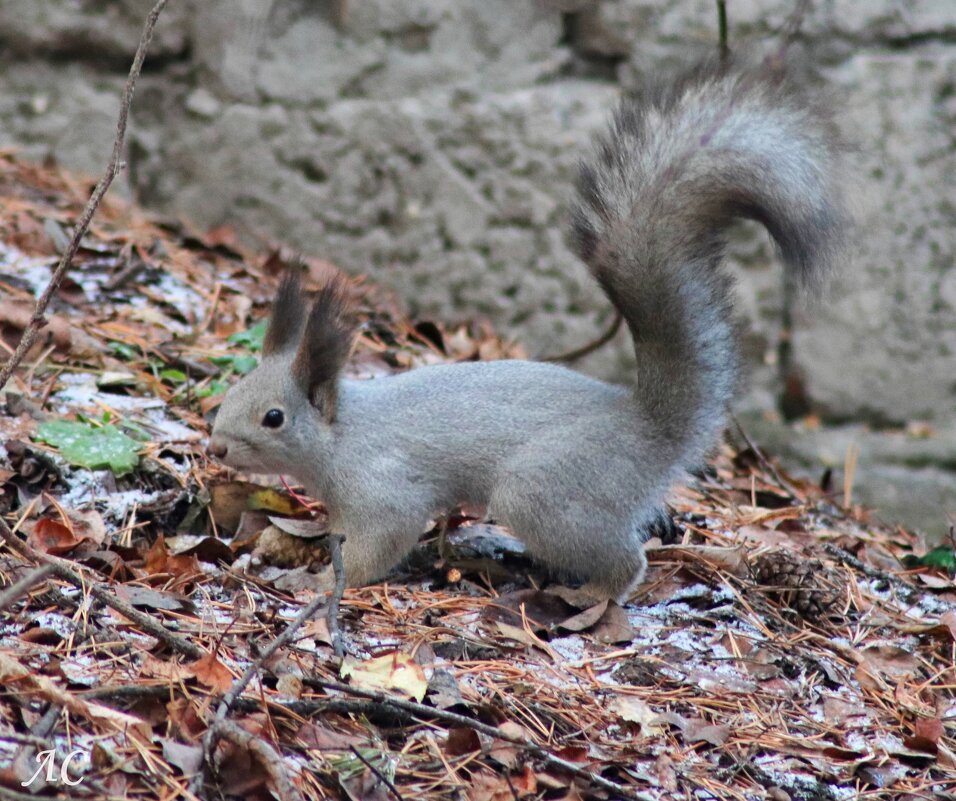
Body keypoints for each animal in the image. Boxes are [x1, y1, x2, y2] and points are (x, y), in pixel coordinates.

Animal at [207, 61, 844, 600]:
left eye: (273, 417)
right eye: (231, 394)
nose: (215, 448)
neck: (341, 434)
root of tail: (651, 428)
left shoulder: (384, 487)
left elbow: (380, 543)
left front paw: (319, 585)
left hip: (548, 490)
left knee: (625, 561)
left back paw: (589, 599)